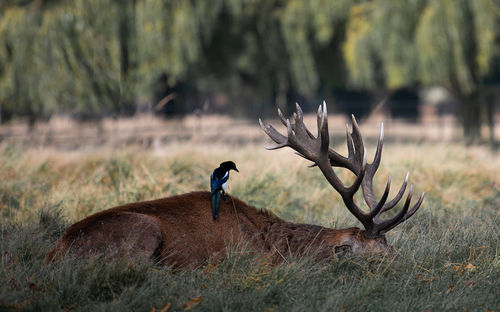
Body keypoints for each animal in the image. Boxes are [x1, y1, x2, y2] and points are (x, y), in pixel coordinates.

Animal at [46, 103, 426, 268]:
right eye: (379, 255)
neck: (278, 246)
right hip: (142, 230)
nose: (407, 264)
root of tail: (56, 253)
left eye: (392, 246)